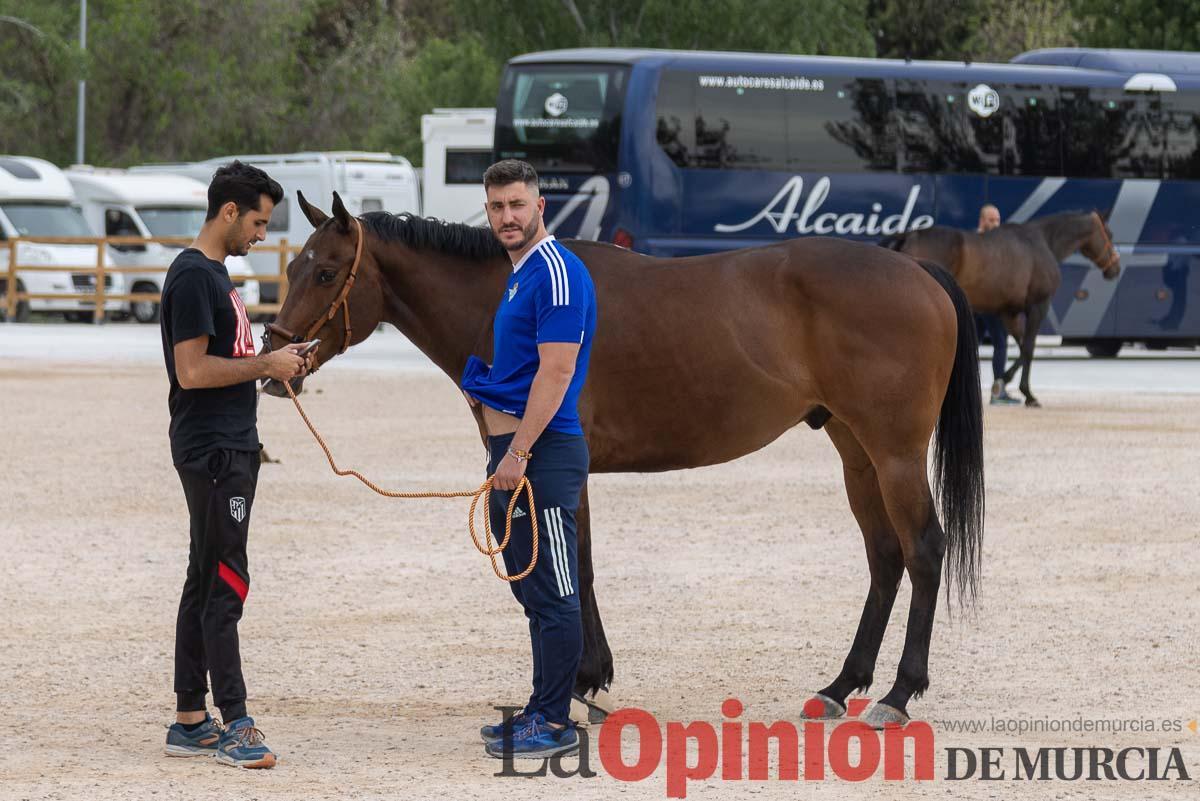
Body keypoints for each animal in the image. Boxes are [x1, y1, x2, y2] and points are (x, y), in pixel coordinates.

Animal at [261, 191, 985, 728]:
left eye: (325, 271)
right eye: (291, 268)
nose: (273, 359)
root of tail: (917, 271)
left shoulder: (553, 464)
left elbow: (571, 562)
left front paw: (585, 679)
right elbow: (572, 562)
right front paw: (588, 675)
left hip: (894, 453)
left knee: (924, 549)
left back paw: (897, 695)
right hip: (856, 453)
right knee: (885, 556)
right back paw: (839, 687)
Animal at [882, 211, 1120, 407]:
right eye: (1109, 234)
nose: (1115, 269)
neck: (1042, 242)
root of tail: (909, 235)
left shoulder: (1009, 313)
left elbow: (1021, 346)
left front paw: (1005, 384)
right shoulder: (1038, 306)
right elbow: (1028, 348)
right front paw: (1025, 393)